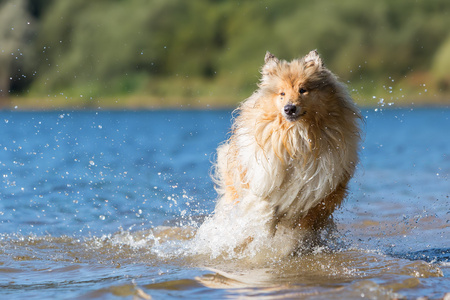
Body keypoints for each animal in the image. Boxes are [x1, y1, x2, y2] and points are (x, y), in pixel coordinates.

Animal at [197, 50, 362, 256]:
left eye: (303, 90)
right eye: (282, 93)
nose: (289, 108)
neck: (297, 138)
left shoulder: (318, 194)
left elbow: (299, 228)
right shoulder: (264, 179)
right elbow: (264, 209)